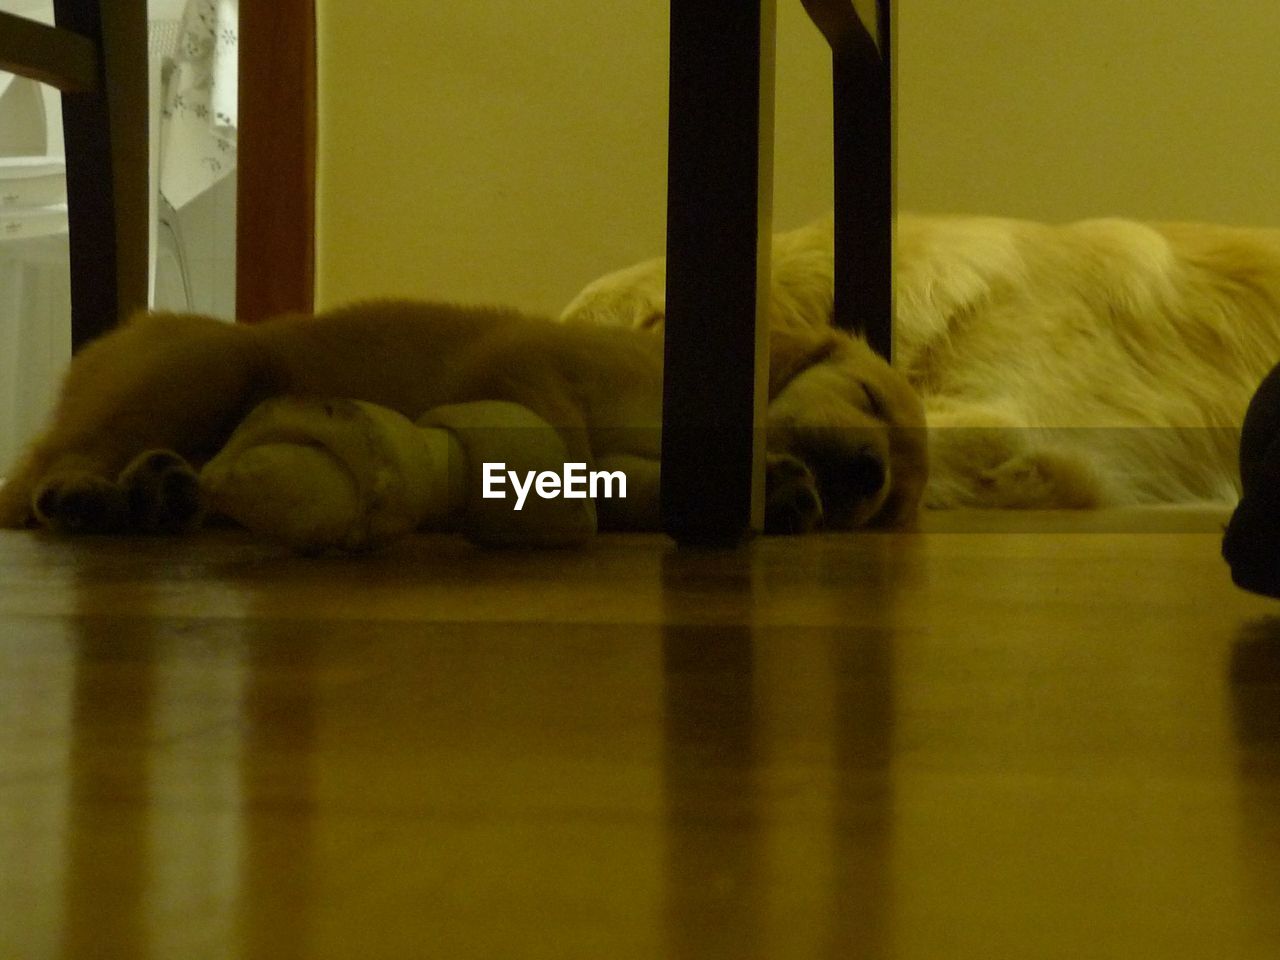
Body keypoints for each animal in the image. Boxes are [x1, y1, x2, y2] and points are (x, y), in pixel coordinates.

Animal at [0, 300, 926, 537]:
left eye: (888, 503)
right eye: (870, 400)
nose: (866, 477)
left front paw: (783, 490)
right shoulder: (527, 363)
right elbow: (569, 447)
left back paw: (159, 493)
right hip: (207, 366)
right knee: (47, 473)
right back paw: (95, 495)